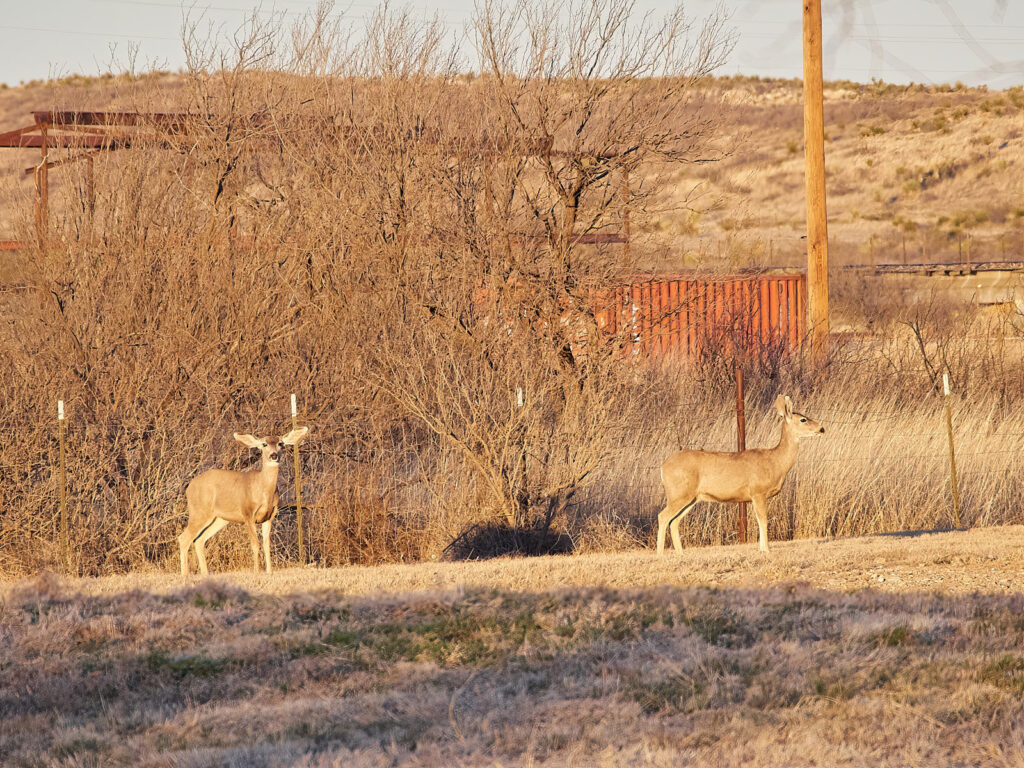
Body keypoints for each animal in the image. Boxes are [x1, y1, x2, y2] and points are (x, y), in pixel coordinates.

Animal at [178, 428, 309, 577]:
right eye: (264, 444)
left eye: (280, 443)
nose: (274, 455)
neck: (262, 490)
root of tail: (189, 487)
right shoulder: (248, 513)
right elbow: (255, 544)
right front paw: (256, 571)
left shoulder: (270, 516)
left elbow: (266, 545)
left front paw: (269, 571)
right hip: (199, 511)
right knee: (184, 538)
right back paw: (184, 574)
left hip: (219, 518)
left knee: (199, 539)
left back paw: (205, 574)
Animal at [655, 399, 823, 557]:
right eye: (803, 419)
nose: (822, 428)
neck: (776, 462)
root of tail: (663, 466)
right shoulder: (758, 492)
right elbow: (763, 520)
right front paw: (766, 549)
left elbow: (759, 520)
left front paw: (762, 548)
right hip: (679, 492)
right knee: (663, 516)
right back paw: (660, 554)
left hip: (692, 497)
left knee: (674, 521)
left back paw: (680, 553)